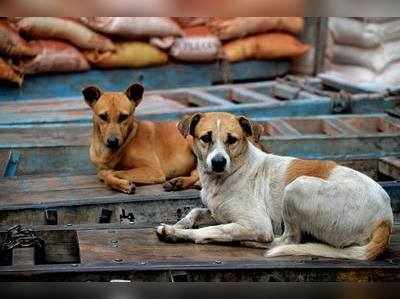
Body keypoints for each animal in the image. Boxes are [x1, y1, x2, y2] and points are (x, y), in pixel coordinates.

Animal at [157, 112, 394, 260]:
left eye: (232, 140)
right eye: (206, 138)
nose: (218, 162)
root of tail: (386, 218)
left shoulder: (257, 224)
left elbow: (209, 230)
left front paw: (175, 232)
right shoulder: (216, 210)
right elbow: (196, 211)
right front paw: (180, 224)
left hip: (297, 187)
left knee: (287, 240)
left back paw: (250, 243)